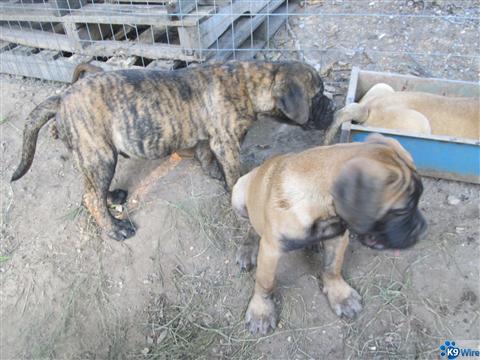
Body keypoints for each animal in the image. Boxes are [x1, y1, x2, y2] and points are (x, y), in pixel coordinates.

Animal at [10, 61, 334, 242]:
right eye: (317, 96)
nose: (332, 107)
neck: (248, 83)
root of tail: (62, 97)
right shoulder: (226, 141)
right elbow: (233, 170)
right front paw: (234, 187)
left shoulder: (209, 137)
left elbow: (206, 156)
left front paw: (213, 173)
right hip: (99, 154)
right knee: (91, 197)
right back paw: (116, 230)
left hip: (92, 156)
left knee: (89, 191)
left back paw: (112, 197)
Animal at [231, 134, 426, 334]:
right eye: (401, 211)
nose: (422, 229)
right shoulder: (271, 249)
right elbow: (265, 282)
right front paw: (261, 312)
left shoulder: (338, 237)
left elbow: (332, 268)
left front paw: (341, 295)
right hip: (239, 195)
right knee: (251, 226)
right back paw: (248, 249)